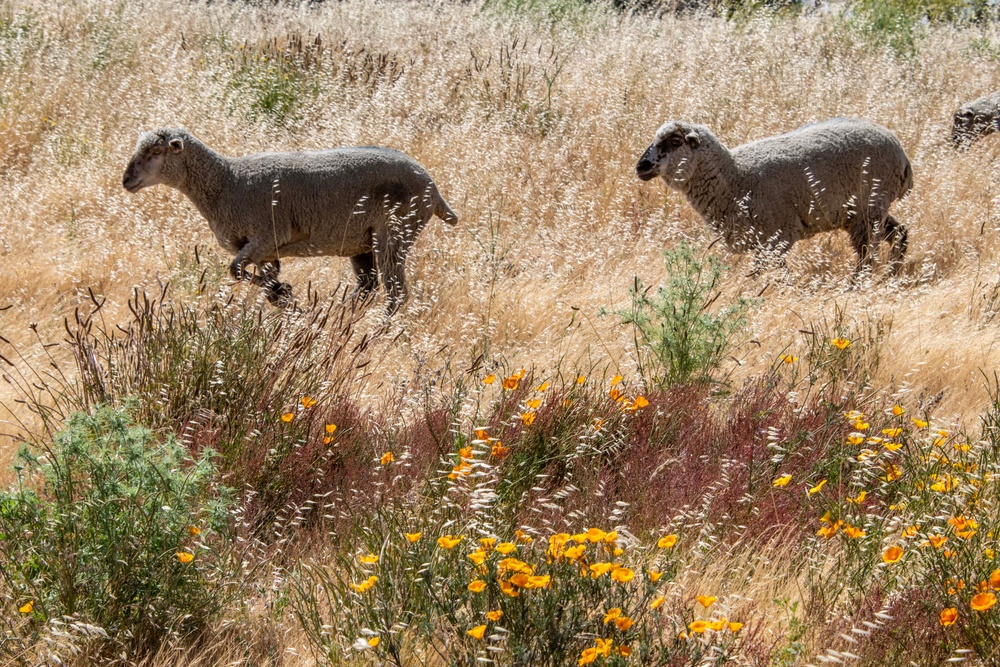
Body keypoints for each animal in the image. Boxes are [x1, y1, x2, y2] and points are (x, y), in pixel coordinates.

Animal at [122, 129, 460, 312]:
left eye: (156, 151)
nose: (126, 180)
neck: (227, 182)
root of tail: (433, 188)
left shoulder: (267, 236)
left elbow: (234, 270)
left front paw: (285, 293)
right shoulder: (263, 251)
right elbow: (255, 276)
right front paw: (284, 299)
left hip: (395, 231)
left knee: (396, 293)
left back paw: (377, 329)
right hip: (362, 241)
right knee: (367, 287)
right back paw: (341, 318)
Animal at [636, 118, 912, 276]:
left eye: (674, 141)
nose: (641, 166)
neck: (735, 177)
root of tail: (901, 152)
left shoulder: (779, 235)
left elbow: (770, 274)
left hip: (869, 209)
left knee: (867, 255)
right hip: (867, 212)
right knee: (900, 233)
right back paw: (893, 274)